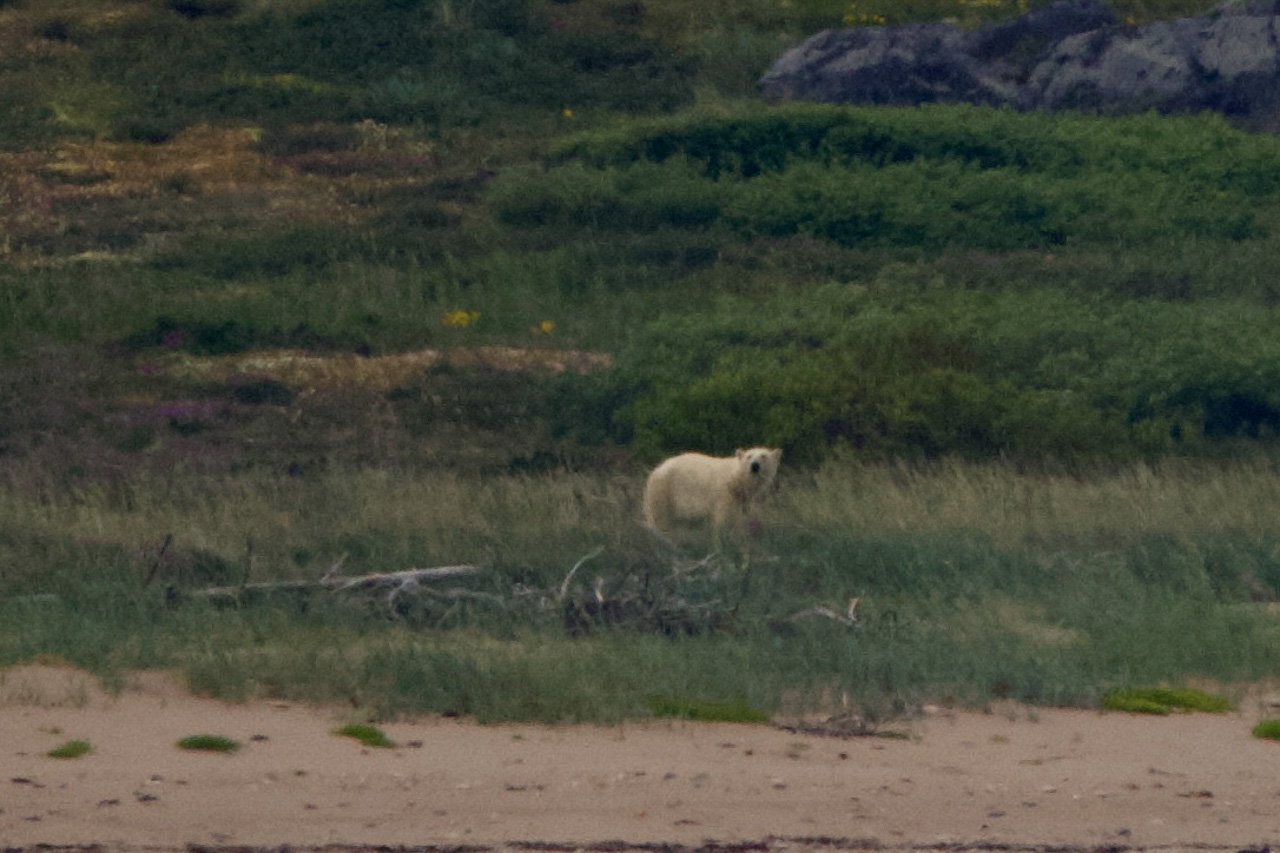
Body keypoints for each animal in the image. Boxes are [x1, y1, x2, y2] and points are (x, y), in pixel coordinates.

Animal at [642, 447, 782, 539]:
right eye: (749, 456)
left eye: (764, 456)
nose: (755, 465)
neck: (736, 479)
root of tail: (656, 469)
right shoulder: (723, 493)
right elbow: (723, 518)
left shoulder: (742, 498)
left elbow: (740, 518)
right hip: (664, 489)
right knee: (659, 516)